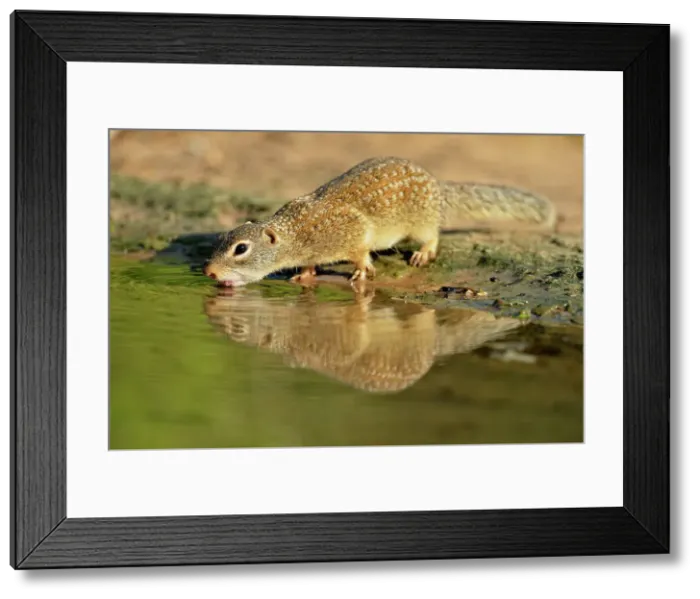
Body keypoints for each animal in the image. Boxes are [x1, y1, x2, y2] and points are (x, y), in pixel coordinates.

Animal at [203, 156, 557, 288]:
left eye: (240, 249)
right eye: (220, 239)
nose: (208, 272)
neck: (295, 235)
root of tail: (438, 186)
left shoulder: (352, 233)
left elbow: (360, 252)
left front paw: (361, 270)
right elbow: (309, 265)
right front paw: (305, 274)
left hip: (421, 222)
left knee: (432, 235)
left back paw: (423, 253)